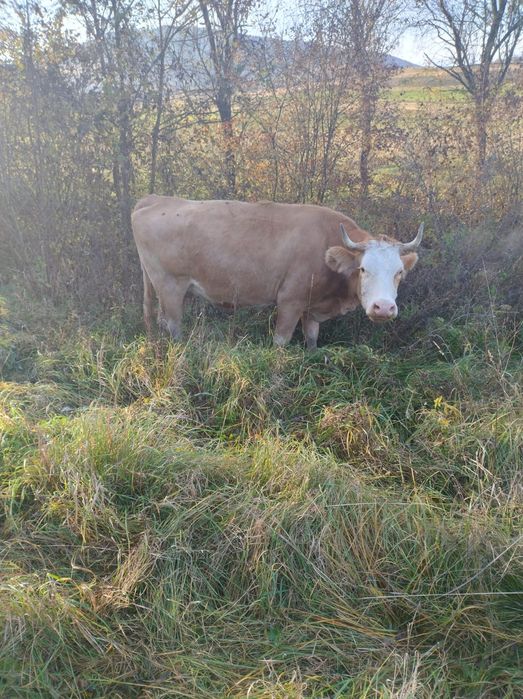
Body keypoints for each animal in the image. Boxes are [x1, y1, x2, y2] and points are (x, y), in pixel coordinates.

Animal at [131, 195, 423, 349]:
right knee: (172, 324)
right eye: (363, 268)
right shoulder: (290, 301)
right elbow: (281, 341)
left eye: (399, 272)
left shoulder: (311, 307)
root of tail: (156, 199)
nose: (383, 308)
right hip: (170, 286)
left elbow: (312, 339)